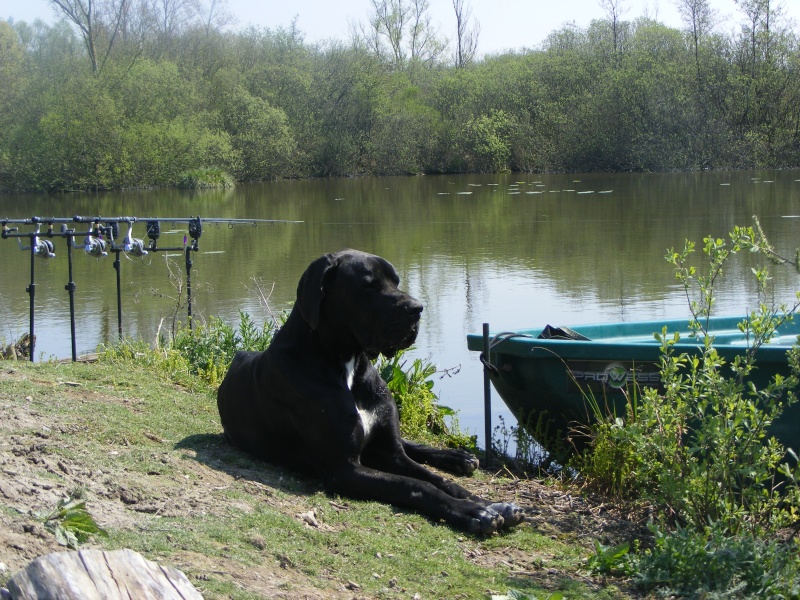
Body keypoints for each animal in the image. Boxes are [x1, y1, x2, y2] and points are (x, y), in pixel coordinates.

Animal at [216, 251, 520, 532]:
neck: (347, 363)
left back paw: (460, 458)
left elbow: (435, 479)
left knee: (409, 445)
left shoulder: (390, 452)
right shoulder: (344, 468)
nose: (417, 308)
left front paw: (489, 504)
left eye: (396, 281)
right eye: (368, 285)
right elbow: (414, 485)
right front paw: (472, 512)